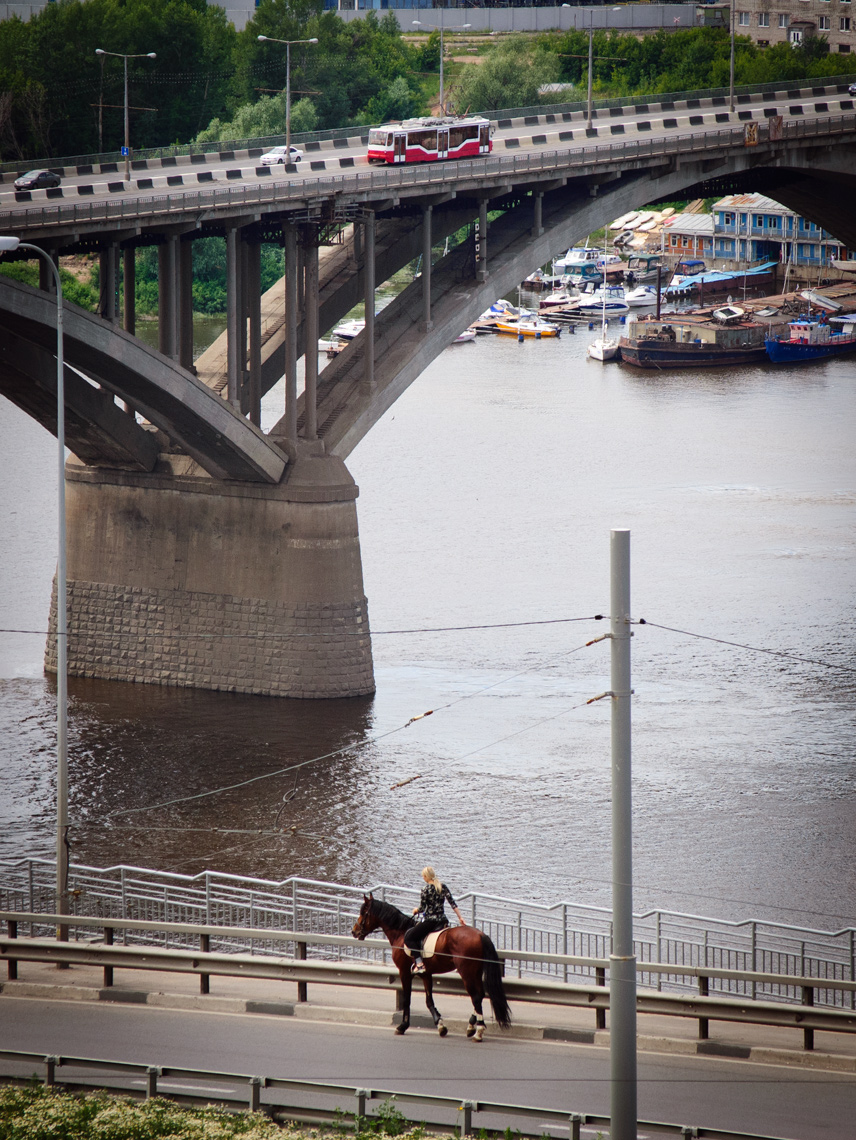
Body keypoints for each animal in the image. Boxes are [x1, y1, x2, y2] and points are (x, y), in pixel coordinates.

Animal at [351, 889, 512, 1044]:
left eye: (363, 912)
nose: (354, 931)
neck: (401, 934)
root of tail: (480, 935)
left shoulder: (404, 972)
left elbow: (407, 999)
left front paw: (402, 1026)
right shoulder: (426, 974)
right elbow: (429, 1001)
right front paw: (440, 1025)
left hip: (467, 972)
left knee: (476, 997)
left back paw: (478, 1032)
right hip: (476, 972)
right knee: (481, 994)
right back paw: (471, 1026)